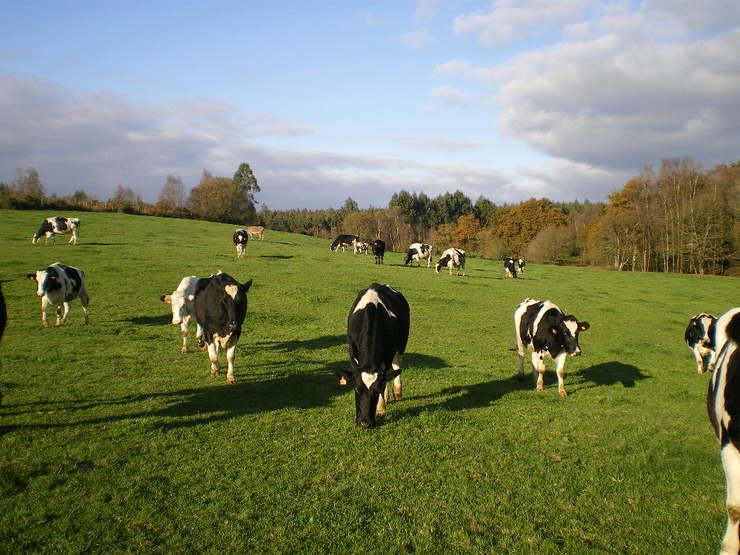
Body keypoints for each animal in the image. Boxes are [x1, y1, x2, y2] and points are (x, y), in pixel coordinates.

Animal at [336, 284, 408, 428]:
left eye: (376, 390)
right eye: (357, 389)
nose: (365, 423)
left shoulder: (388, 356)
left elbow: (385, 380)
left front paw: (380, 408)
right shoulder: (352, 355)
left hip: (401, 345)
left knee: (396, 365)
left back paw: (396, 393)